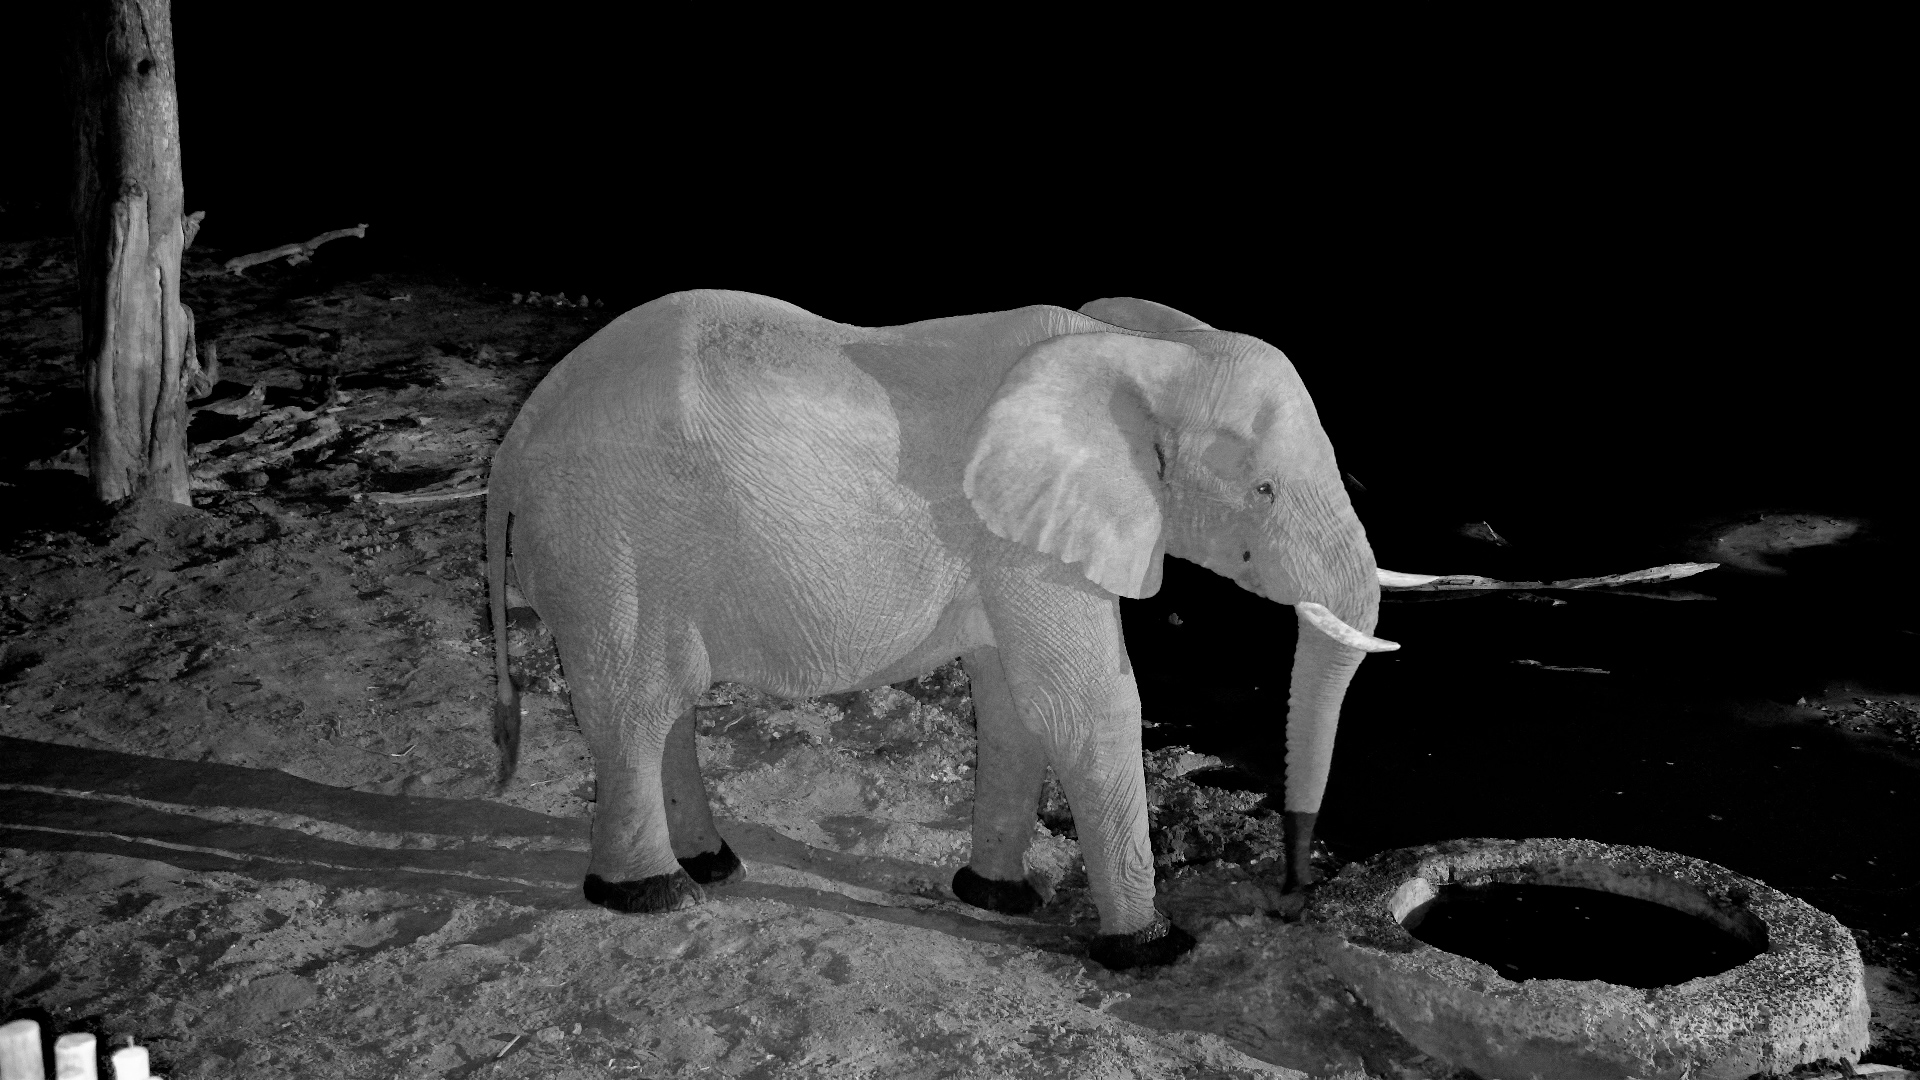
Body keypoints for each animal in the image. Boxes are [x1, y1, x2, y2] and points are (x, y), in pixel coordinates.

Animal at [485, 290, 1398, 969]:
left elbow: (1014, 705)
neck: (1141, 349)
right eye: (1265, 490)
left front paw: (996, 899)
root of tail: (514, 442)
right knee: (635, 705)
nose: (1292, 891)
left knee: (665, 698)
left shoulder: (1012, 538)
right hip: (611, 544)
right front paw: (1151, 948)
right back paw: (649, 895)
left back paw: (712, 867)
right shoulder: (1022, 542)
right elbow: (1084, 705)